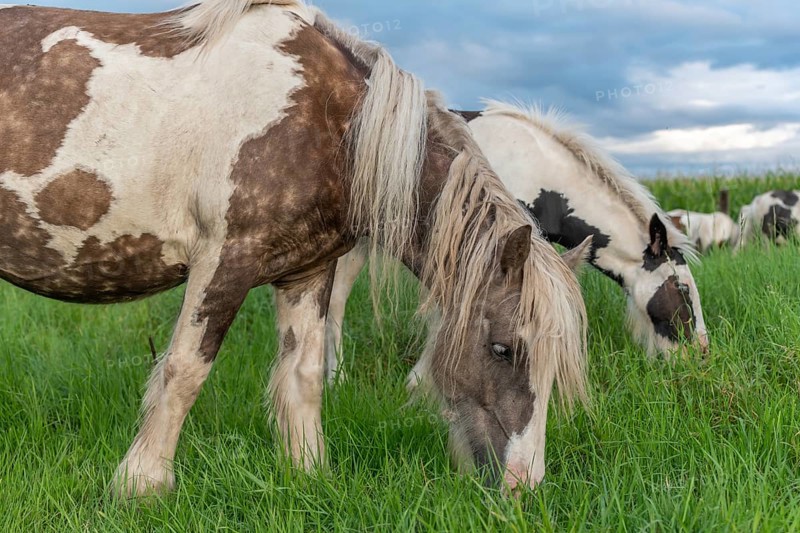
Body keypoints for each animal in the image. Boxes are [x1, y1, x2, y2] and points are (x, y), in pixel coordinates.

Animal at [0, 0, 588, 496]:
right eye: (502, 348)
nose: (523, 483)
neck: (328, 120)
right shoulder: (225, 261)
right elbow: (185, 370)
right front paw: (141, 486)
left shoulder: (309, 271)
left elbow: (304, 376)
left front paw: (309, 474)